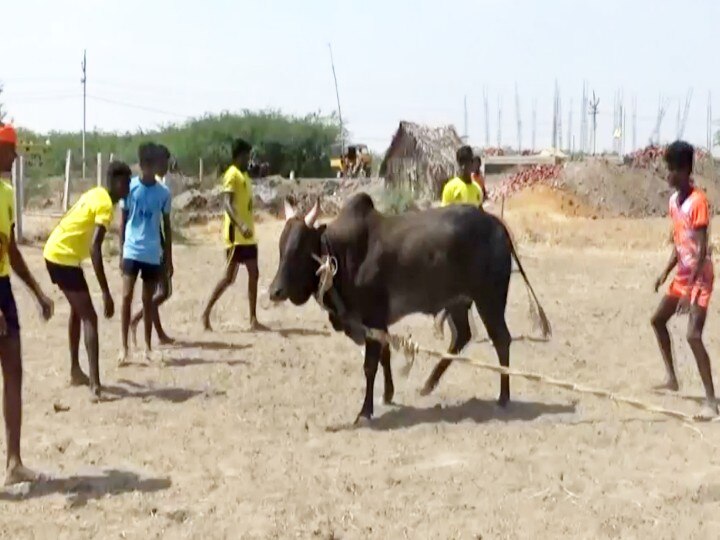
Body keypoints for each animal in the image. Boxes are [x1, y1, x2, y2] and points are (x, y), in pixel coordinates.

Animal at [270, 193, 552, 422]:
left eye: (300, 249)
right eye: (281, 247)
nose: (275, 291)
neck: (341, 254)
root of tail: (497, 225)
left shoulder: (373, 317)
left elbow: (370, 365)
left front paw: (365, 411)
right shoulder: (378, 323)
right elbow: (384, 356)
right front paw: (387, 394)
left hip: (489, 300)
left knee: (501, 340)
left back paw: (503, 397)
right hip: (458, 302)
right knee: (462, 335)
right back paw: (429, 383)